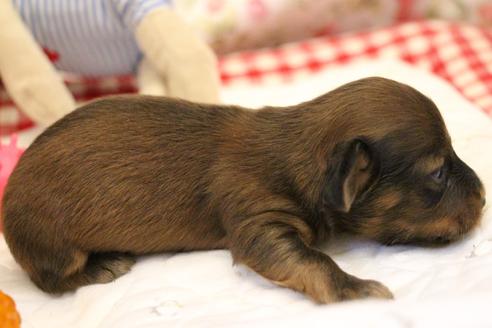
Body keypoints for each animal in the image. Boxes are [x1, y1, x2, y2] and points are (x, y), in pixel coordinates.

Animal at [0, 76, 484, 302]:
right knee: (50, 279)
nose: (483, 198)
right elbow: (314, 261)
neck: (302, 152)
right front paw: (355, 289)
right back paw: (100, 266)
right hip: (50, 239)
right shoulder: (259, 220)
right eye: (438, 174)